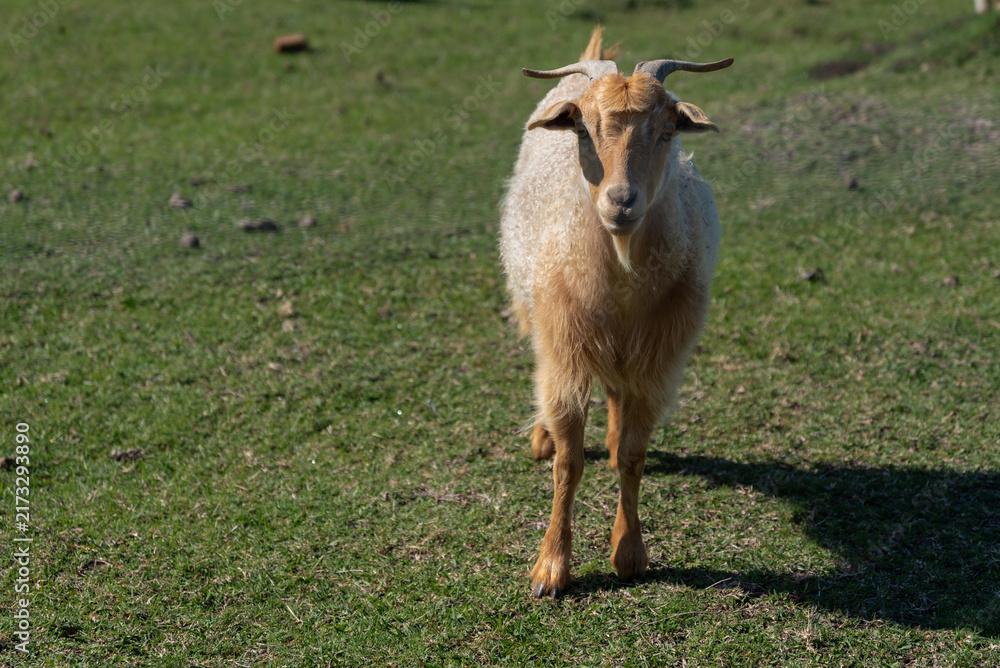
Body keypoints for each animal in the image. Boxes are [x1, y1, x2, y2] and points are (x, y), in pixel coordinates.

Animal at [499, 27, 732, 597]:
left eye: (669, 130)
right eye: (581, 128)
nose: (620, 202)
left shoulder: (656, 363)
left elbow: (632, 455)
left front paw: (629, 552)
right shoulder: (564, 350)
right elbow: (568, 463)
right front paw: (550, 569)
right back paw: (543, 435)